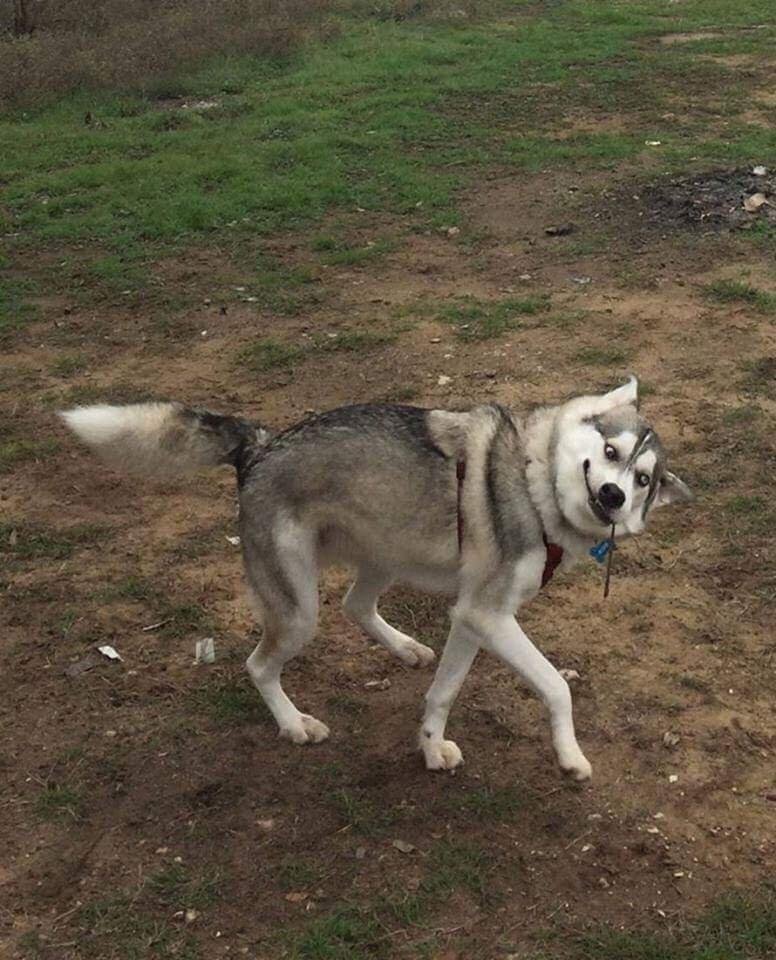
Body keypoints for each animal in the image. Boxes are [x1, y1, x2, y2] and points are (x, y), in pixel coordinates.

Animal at [62, 376, 692, 780]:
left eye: (642, 480)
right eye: (609, 452)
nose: (612, 496)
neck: (536, 483)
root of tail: (259, 446)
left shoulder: (473, 619)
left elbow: (443, 691)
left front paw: (431, 749)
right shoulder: (489, 615)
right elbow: (557, 686)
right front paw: (570, 757)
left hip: (383, 556)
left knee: (355, 606)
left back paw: (405, 647)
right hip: (298, 611)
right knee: (260, 665)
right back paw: (294, 725)